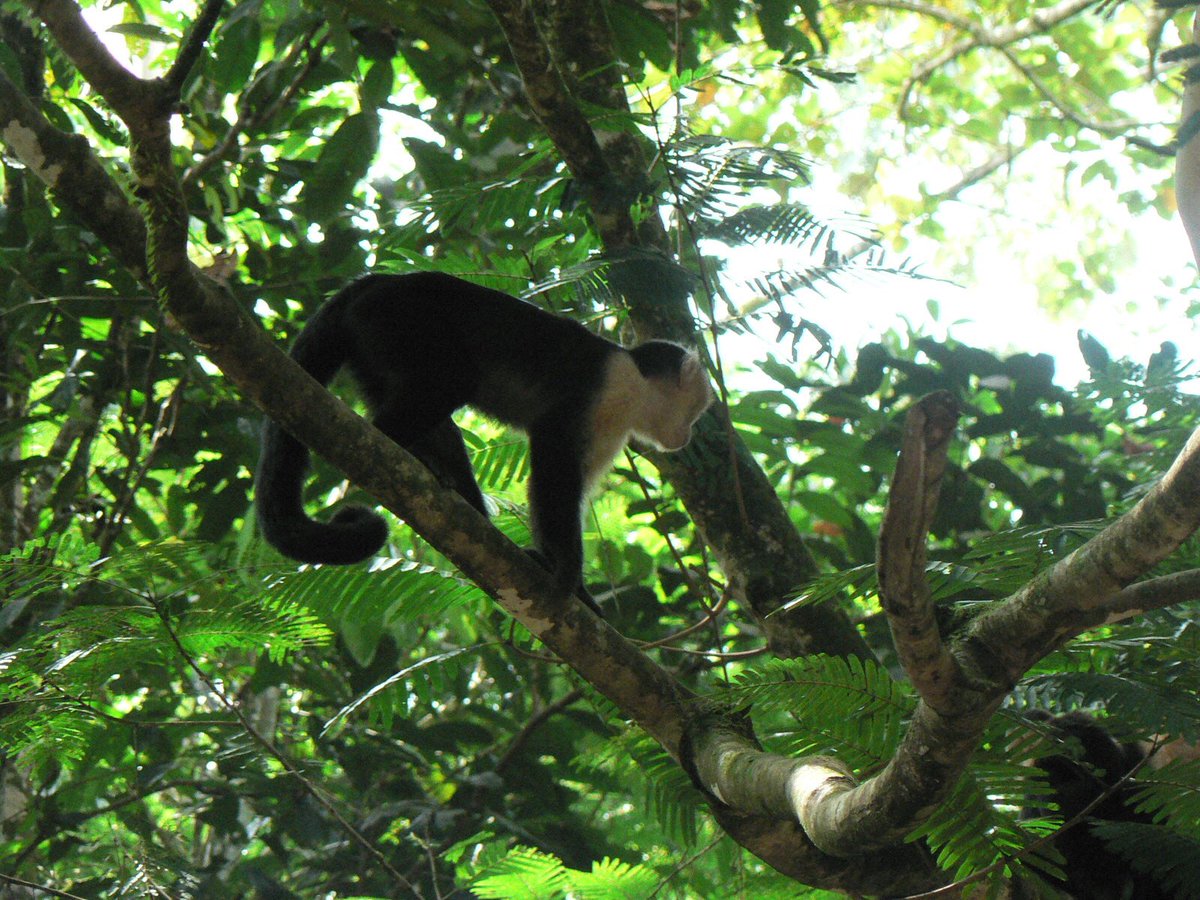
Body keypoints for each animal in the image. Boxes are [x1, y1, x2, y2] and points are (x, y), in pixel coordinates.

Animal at [255, 271, 713, 610]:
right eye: (695, 414)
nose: (689, 435)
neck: (636, 385)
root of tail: (375, 280)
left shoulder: (613, 426)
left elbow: (570, 484)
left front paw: (557, 568)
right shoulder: (606, 390)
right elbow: (553, 462)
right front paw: (568, 575)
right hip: (394, 317)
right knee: (448, 380)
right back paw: (389, 448)